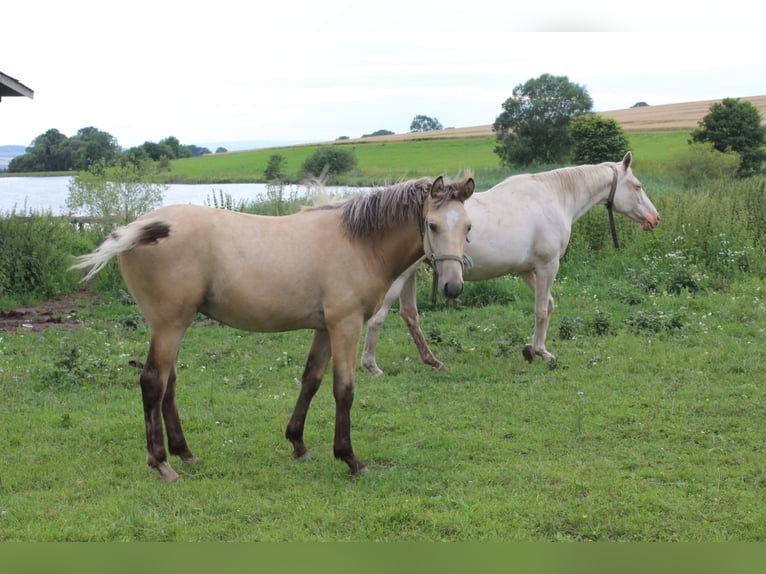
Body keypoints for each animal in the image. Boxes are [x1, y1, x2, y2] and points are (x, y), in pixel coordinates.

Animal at [364, 153, 664, 378]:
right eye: (637, 186)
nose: (655, 218)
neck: (555, 196)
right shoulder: (548, 266)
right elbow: (541, 310)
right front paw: (542, 352)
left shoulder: (527, 270)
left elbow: (548, 305)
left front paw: (531, 348)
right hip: (400, 276)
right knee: (379, 316)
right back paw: (371, 365)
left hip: (410, 275)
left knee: (409, 315)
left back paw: (432, 361)